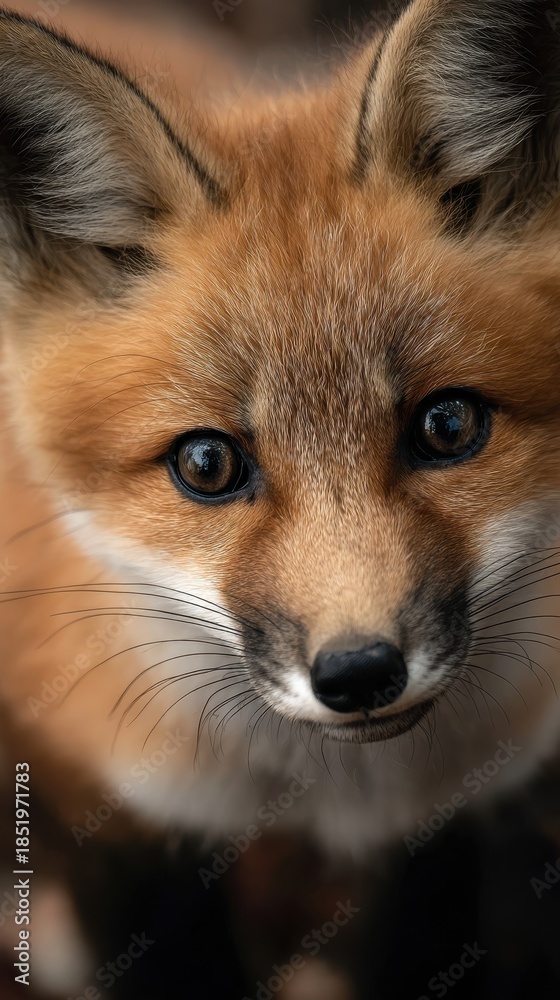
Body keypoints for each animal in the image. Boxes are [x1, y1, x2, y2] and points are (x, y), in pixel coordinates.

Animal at [2, 0, 560, 993]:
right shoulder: (123, 815)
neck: (331, 791)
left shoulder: (446, 828)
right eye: (207, 464)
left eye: (447, 426)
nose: (360, 673)